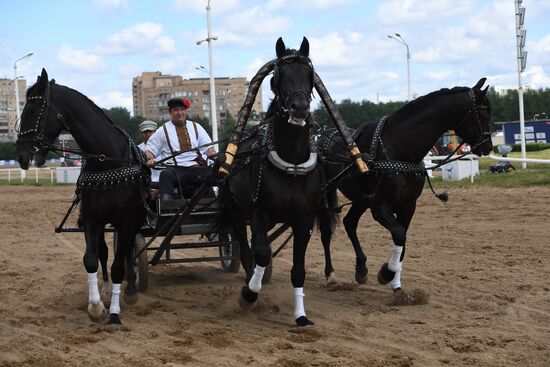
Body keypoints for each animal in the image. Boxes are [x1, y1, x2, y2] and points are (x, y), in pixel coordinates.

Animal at [15, 69, 149, 324]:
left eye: (31, 110)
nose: (20, 156)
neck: (107, 160)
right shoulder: (91, 220)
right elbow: (91, 259)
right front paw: (96, 307)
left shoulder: (127, 222)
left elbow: (119, 265)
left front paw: (114, 313)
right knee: (104, 252)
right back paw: (106, 290)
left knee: (128, 253)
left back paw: (129, 291)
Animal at [225, 36, 328, 326]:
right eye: (278, 76)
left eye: (309, 74)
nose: (300, 108)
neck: (290, 163)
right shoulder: (258, 213)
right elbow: (261, 253)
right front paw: (249, 294)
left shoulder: (303, 220)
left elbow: (298, 269)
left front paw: (301, 316)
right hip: (235, 210)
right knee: (245, 247)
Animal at [320, 79, 496, 298]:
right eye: (483, 113)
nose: (487, 146)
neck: (398, 148)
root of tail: (320, 135)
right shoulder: (380, 207)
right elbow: (399, 234)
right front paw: (386, 273)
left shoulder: (408, 206)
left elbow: (402, 241)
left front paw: (396, 284)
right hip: (326, 194)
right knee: (326, 232)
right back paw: (330, 274)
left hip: (361, 199)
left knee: (350, 223)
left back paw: (361, 269)